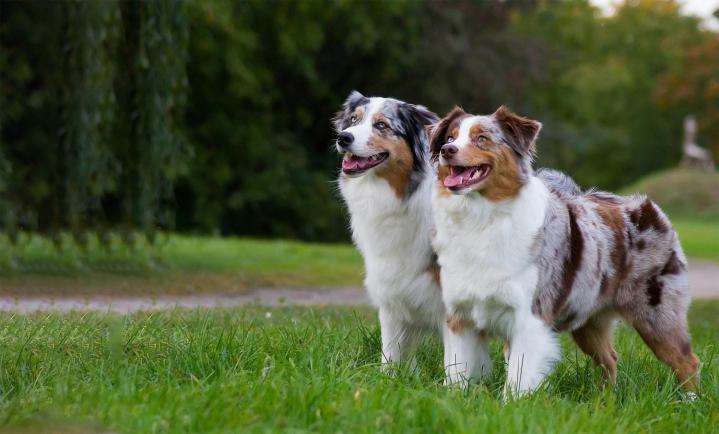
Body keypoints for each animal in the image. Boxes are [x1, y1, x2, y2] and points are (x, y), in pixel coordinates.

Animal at [334, 92, 448, 370]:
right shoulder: (391, 289)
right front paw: (387, 377)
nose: (343, 137)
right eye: (353, 120)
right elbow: (390, 351)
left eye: (381, 125)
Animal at [430, 106, 700, 396]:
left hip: (656, 314)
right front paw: (454, 398)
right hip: (588, 318)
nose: (447, 150)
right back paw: (605, 400)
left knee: (687, 360)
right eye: (450, 137)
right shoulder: (461, 317)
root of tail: (651, 209)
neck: (481, 217)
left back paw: (690, 401)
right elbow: (458, 371)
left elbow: (518, 379)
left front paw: (513, 403)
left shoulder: (530, 316)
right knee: (610, 358)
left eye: (481, 138)